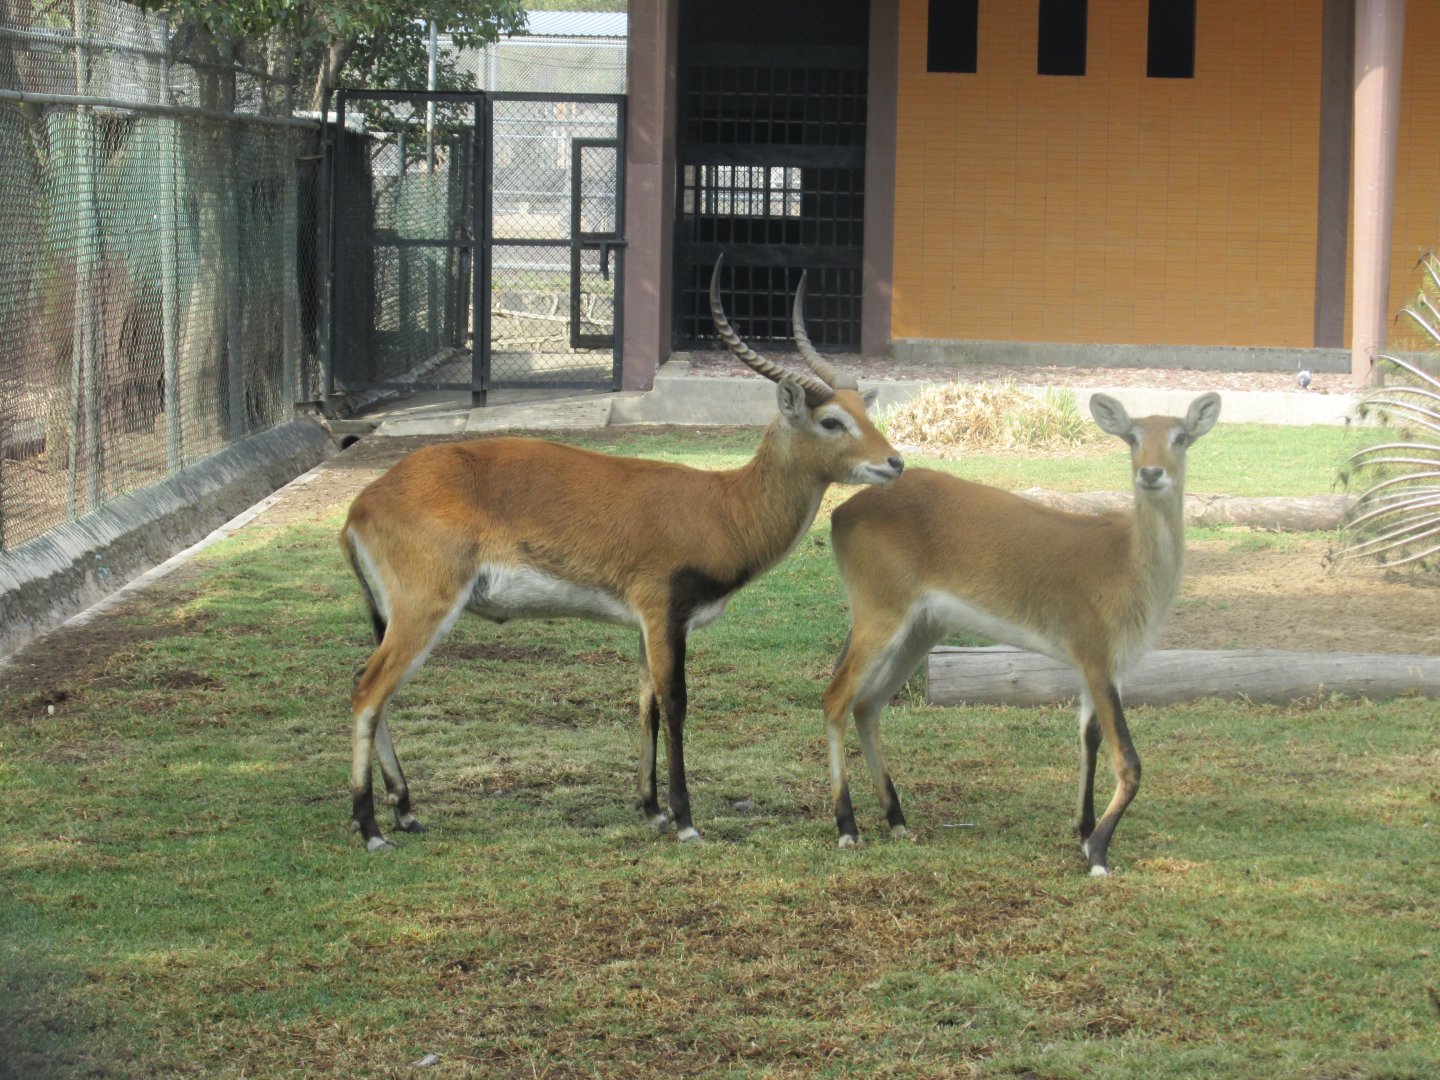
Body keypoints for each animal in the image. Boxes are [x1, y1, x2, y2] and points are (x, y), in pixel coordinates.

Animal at [340, 257, 904, 850]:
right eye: (831, 421)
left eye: (860, 411)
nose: (895, 462)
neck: (722, 506)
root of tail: (363, 502)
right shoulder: (664, 615)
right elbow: (675, 704)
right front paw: (685, 820)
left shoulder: (644, 626)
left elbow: (645, 704)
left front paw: (651, 809)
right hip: (425, 611)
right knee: (367, 693)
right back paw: (371, 828)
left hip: (395, 617)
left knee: (372, 691)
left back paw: (405, 811)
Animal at [820, 392, 1221, 876]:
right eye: (1132, 436)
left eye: (1181, 436)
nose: (1150, 472)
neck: (1127, 561)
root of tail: (842, 513)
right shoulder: (1095, 658)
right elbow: (1128, 760)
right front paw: (1099, 854)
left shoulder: (1109, 668)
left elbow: (1089, 736)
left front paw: (1084, 832)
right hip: (880, 617)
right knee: (836, 699)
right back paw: (848, 828)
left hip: (919, 630)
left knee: (867, 706)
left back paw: (897, 819)